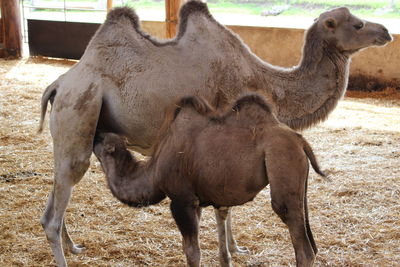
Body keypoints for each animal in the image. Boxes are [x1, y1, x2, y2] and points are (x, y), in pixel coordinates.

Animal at [94, 93, 328, 266]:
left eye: (104, 141)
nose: (95, 134)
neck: (154, 173)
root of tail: (300, 141)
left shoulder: (182, 201)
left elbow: (192, 253)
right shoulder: (197, 201)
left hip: (282, 163)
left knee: (301, 244)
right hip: (299, 183)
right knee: (311, 242)